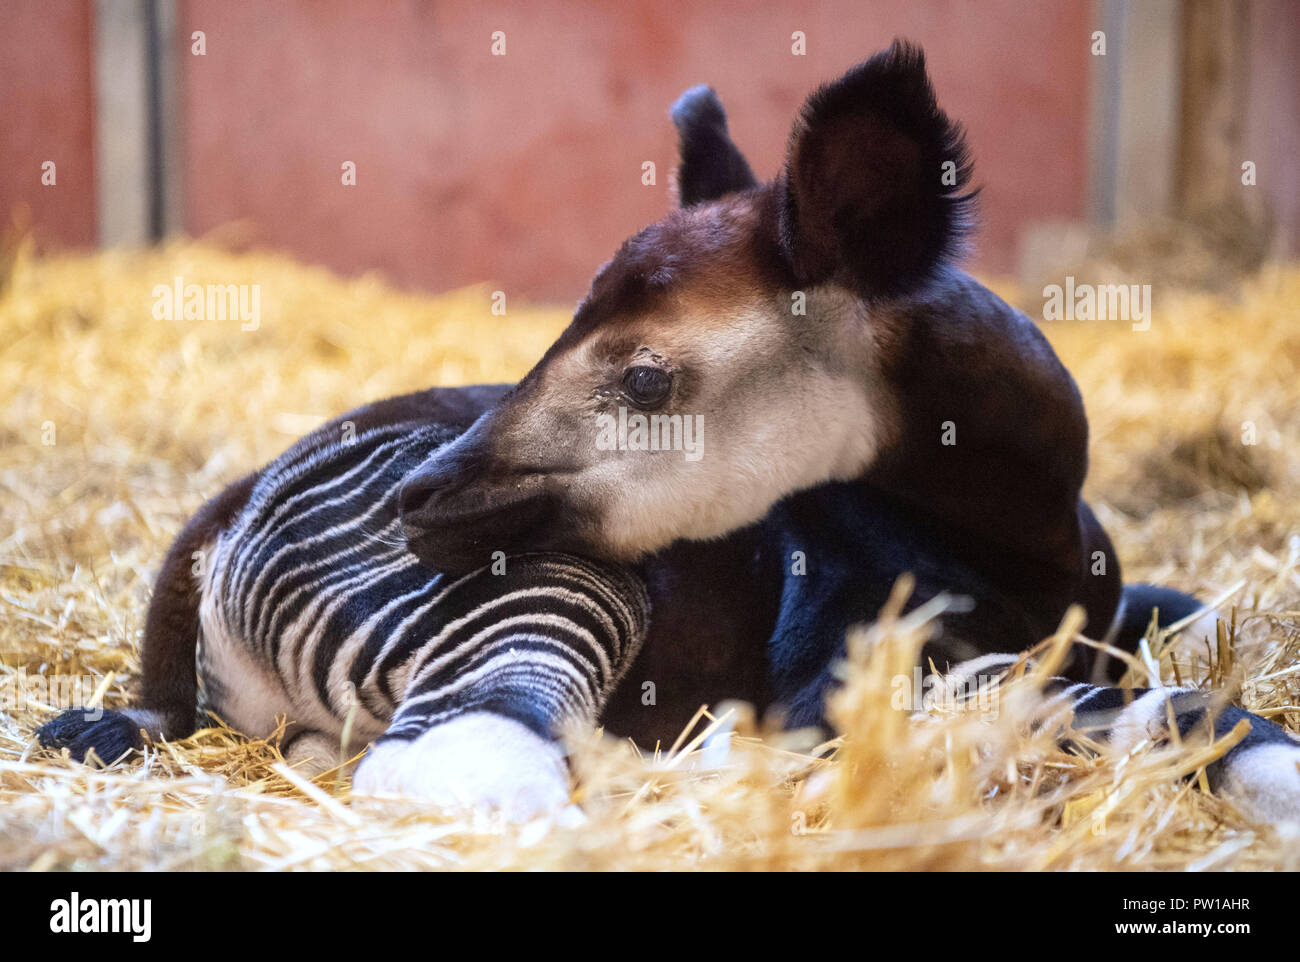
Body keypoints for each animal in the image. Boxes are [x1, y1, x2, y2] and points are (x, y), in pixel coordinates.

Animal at [40, 43, 1300, 826]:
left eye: (646, 376)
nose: (417, 502)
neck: (1025, 531)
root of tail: (231, 507)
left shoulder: (1104, 609)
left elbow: (1196, 621)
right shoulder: (857, 672)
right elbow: (1175, 706)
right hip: (560, 585)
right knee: (463, 736)